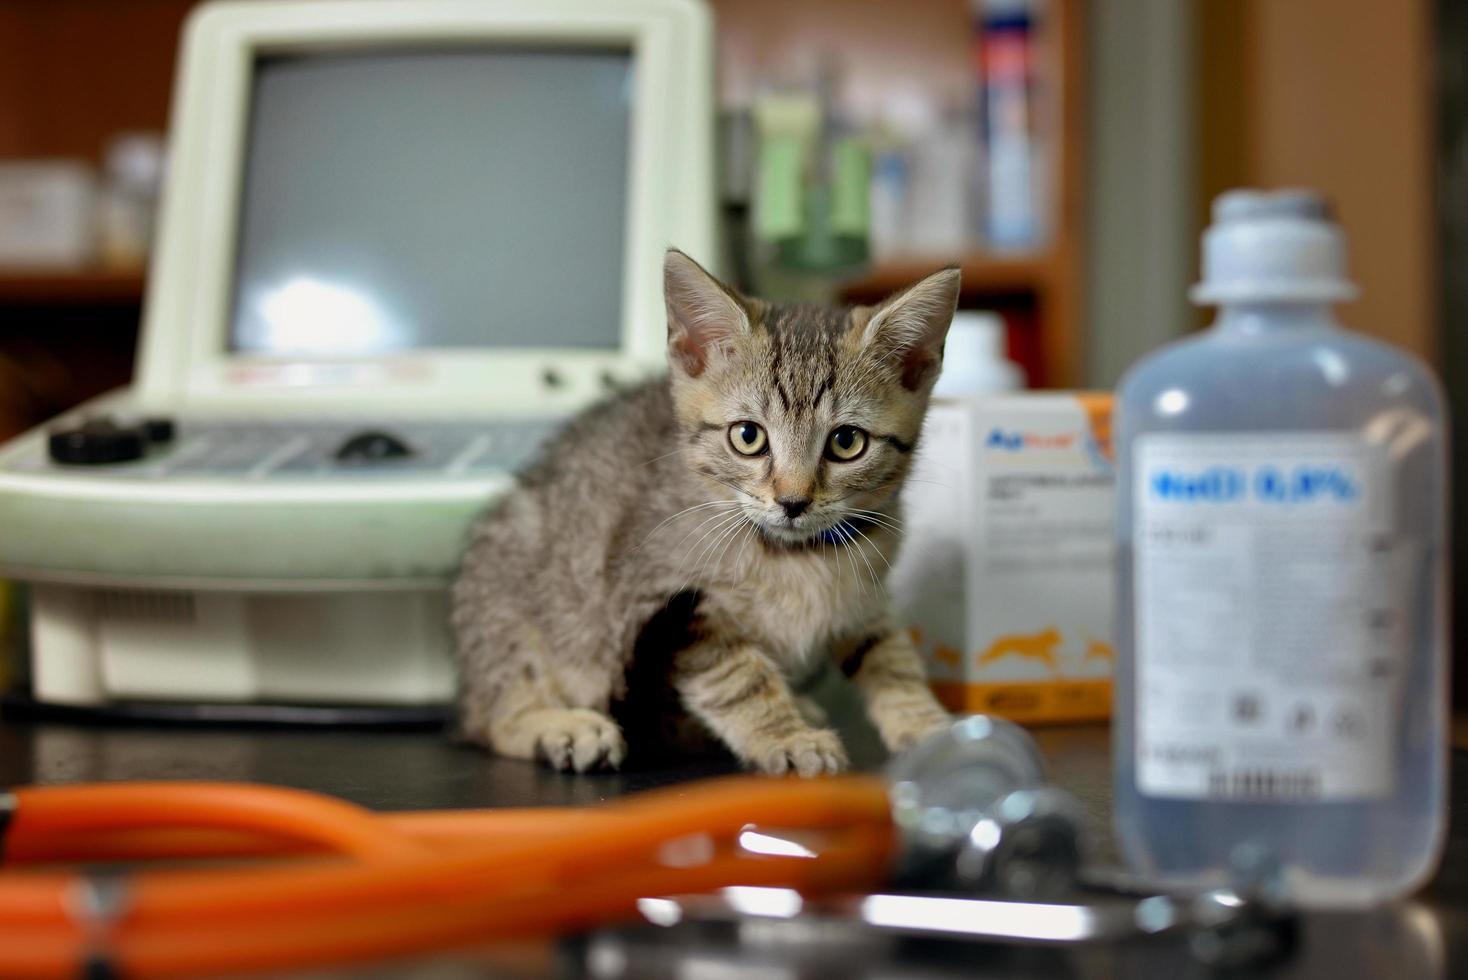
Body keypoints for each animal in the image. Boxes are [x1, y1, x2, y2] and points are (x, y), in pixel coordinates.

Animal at [458, 250, 963, 774]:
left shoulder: (865, 601)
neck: (795, 555)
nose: (793, 501)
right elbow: (739, 676)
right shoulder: (667, 600)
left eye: (846, 442)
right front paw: (786, 736)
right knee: (495, 716)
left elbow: (891, 657)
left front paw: (928, 725)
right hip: (515, 608)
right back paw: (559, 727)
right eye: (748, 436)